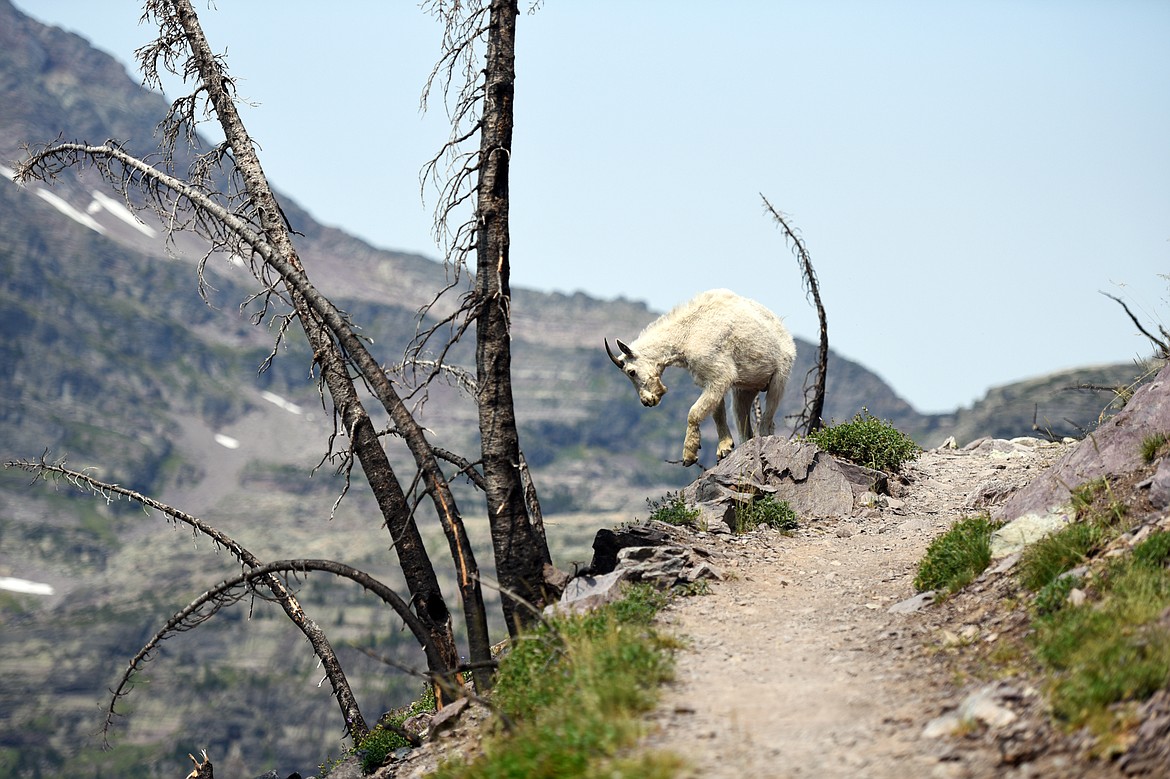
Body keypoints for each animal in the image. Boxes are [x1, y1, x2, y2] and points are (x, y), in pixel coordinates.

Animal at [608, 287, 800, 463]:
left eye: (631, 372)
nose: (647, 401)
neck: (686, 334)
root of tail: (784, 330)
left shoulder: (719, 374)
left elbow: (694, 412)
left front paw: (689, 454)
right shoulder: (709, 380)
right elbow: (717, 413)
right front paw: (724, 448)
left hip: (780, 377)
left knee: (768, 416)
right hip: (745, 389)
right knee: (742, 417)